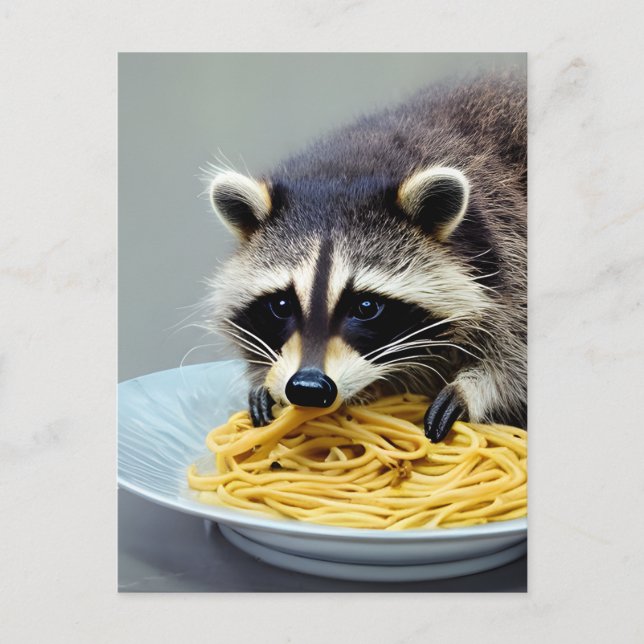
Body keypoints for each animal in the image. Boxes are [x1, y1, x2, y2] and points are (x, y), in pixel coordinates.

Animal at [206, 72, 527, 442]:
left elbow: (515, 354)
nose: (308, 387)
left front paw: (474, 387)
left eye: (366, 307)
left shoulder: (510, 244)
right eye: (282, 305)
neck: (352, 166)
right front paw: (264, 382)